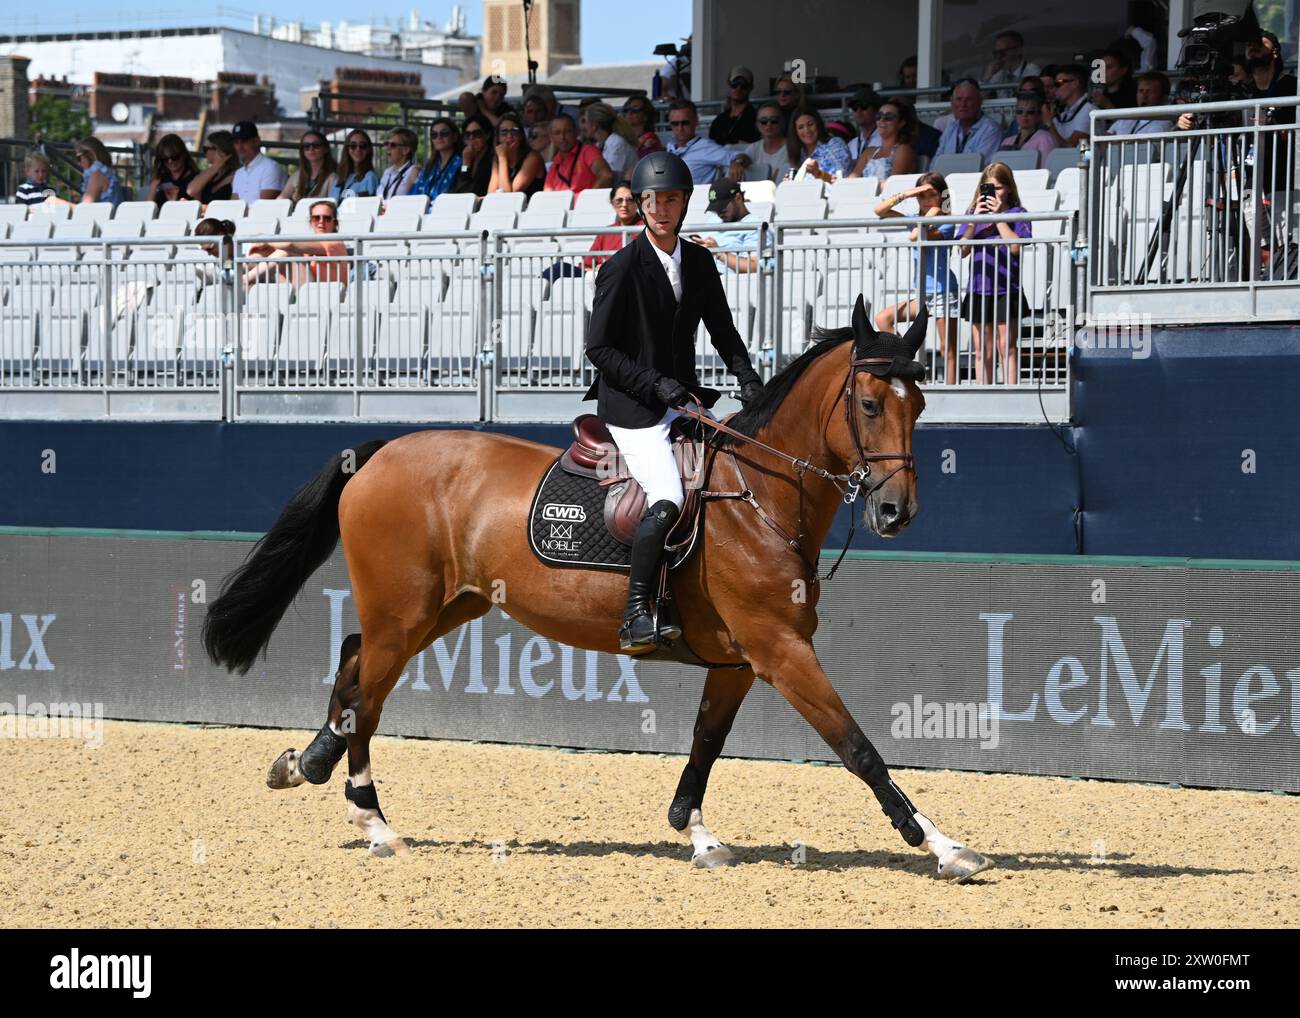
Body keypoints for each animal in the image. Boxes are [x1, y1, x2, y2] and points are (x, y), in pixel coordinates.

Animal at [205, 295, 993, 884]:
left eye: (919, 405)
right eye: (870, 404)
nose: (895, 512)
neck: (760, 496)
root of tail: (376, 452)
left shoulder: (739, 661)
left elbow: (707, 742)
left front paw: (696, 833)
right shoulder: (780, 650)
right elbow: (858, 746)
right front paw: (943, 846)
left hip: (444, 606)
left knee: (353, 661)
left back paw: (306, 764)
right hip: (406, 611)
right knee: (368, 691)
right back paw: (374, 822)